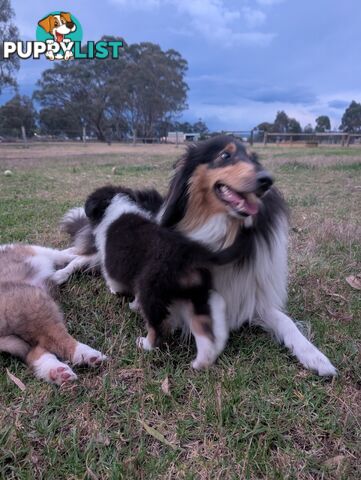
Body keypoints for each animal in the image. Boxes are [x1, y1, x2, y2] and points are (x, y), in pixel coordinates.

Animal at [0, 246, 106, 384]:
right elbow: (68, 256)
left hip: (19, 335)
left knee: (36, 352)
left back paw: (57, 372)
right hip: (35, 305)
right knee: (60, 340)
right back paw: (90, 356)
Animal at [83, 186, 248, 370]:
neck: (115, 205)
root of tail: (189, 254)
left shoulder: (113, 264)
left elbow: (115, 281)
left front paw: (117, 293)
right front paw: (134, 304)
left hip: (151, 289)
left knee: (156, 326)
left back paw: (146, 344)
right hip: (195, 292)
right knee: (203, 327)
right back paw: (201, 362)